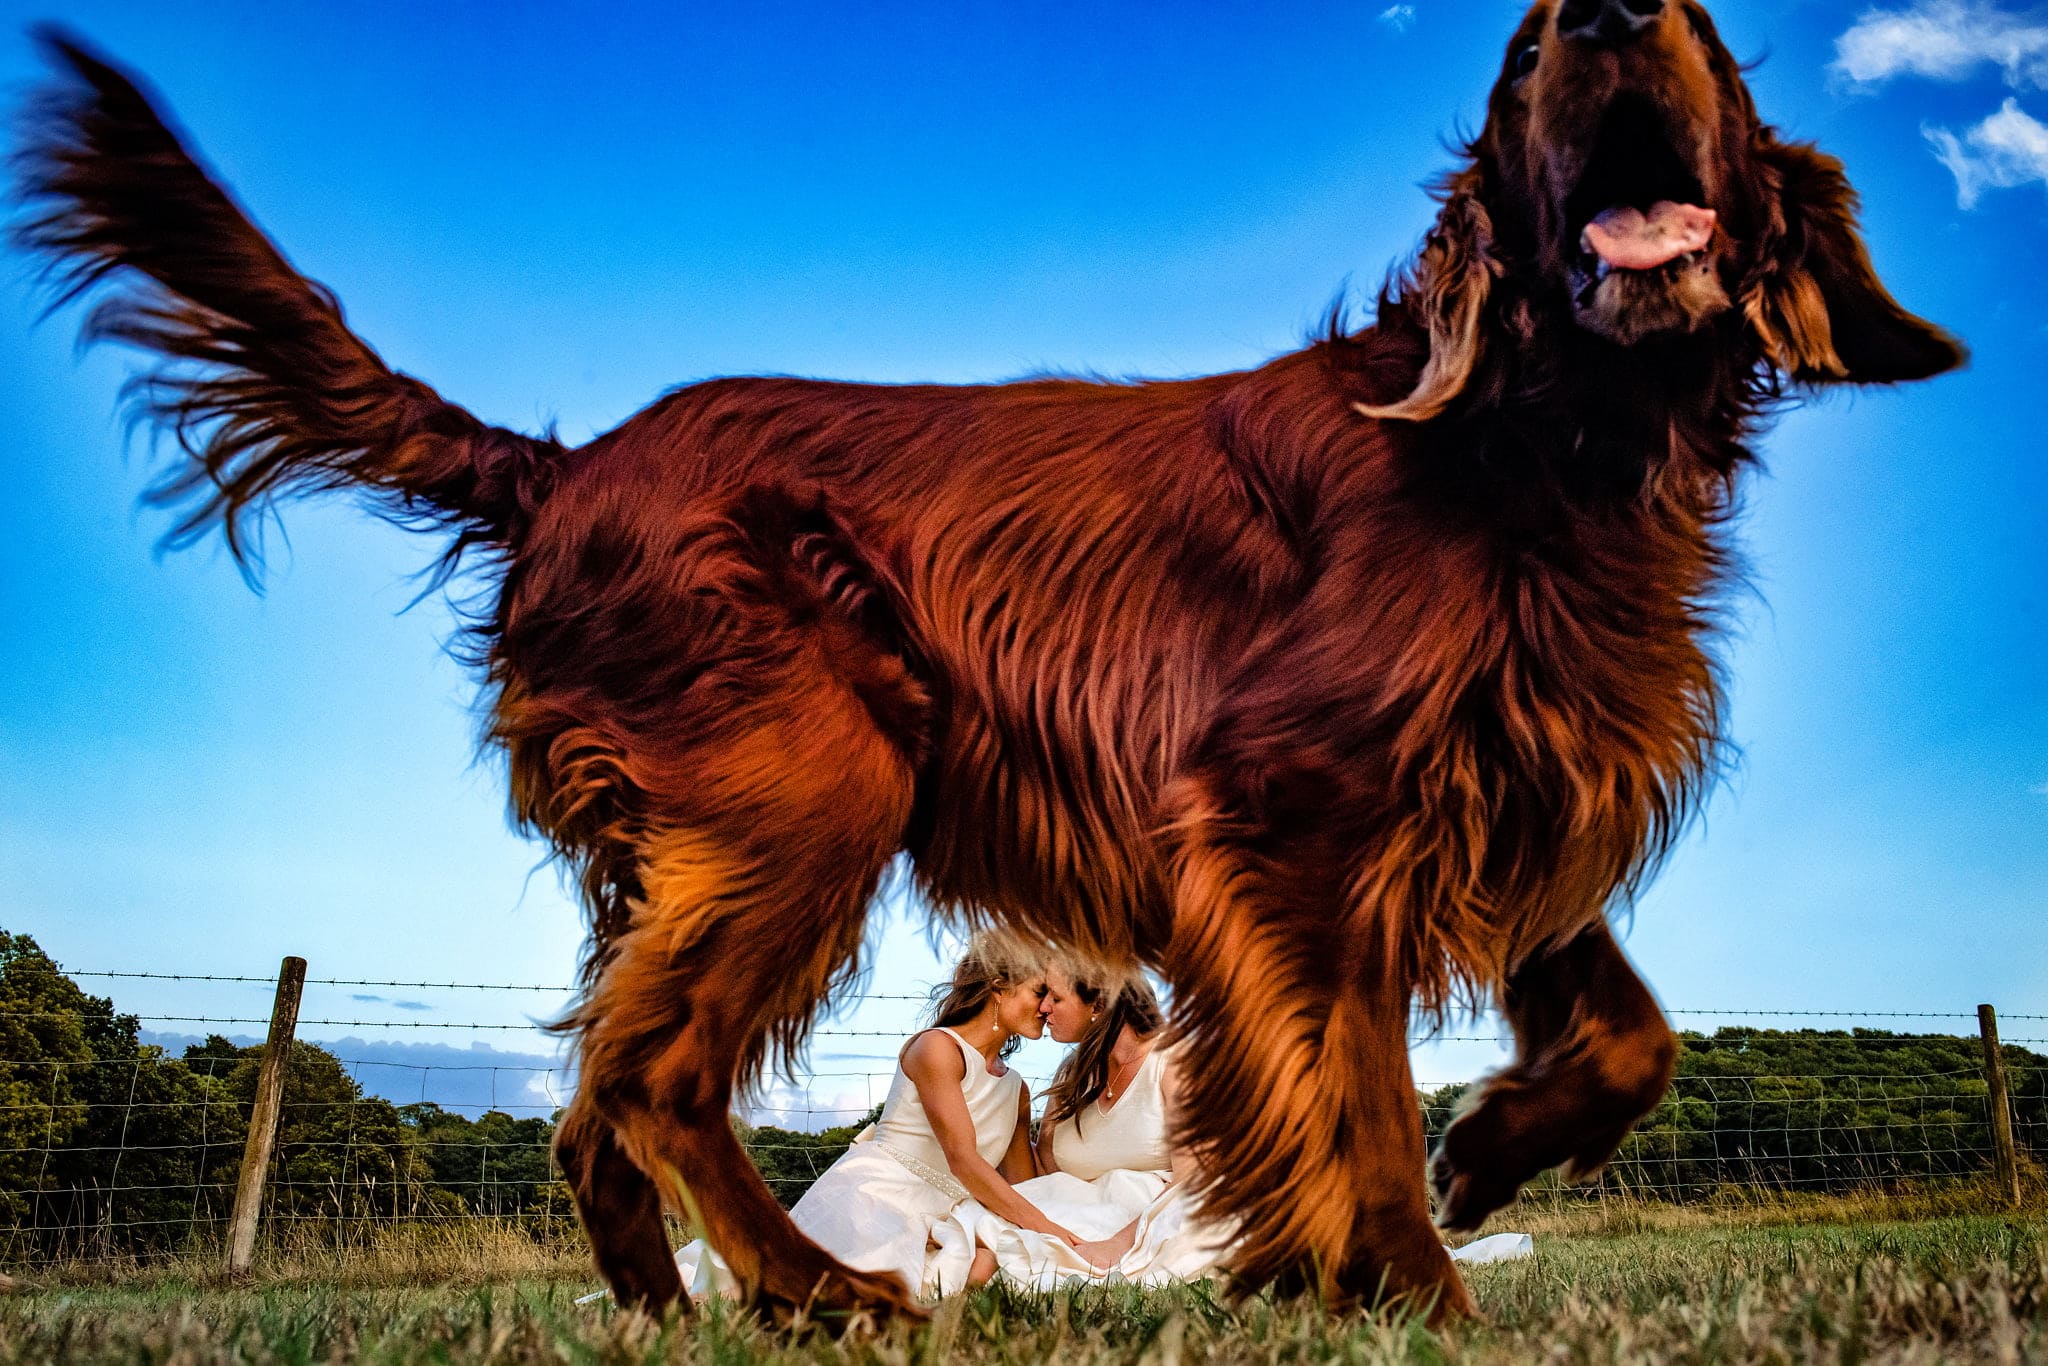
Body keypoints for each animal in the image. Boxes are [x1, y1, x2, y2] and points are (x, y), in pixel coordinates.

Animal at [19, 0, 1966, 1327]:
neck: (1540, 446)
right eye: (1522, 50)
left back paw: (671, 1317)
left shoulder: (1503, 786)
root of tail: (563, 468)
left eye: (1694, 25)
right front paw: (1413, 1284)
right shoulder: (1293, 808)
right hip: (817, 780)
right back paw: (817, 1294)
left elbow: (1631, 1036)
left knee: (591, 1107)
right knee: (651, 1079)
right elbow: (1349, 1089)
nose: (1607, 11)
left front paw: (1483, 1152)